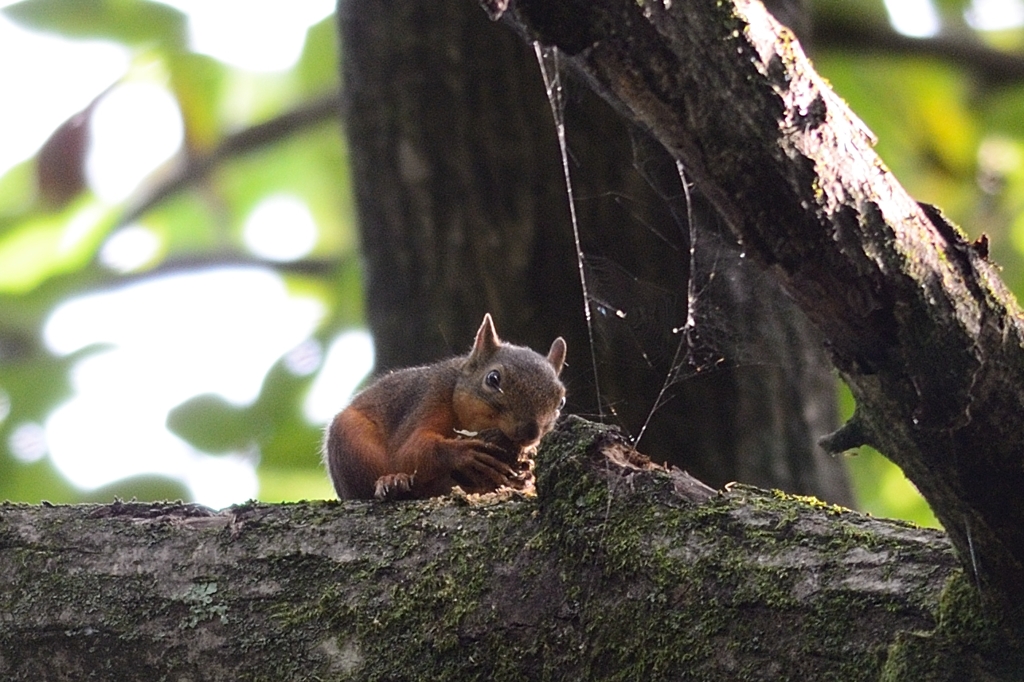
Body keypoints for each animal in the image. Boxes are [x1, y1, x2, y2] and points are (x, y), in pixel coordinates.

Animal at [325, 313, 569, 499]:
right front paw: (463, 453)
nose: (530, 432)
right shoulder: (430, 398)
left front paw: (526, 474)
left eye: (561, 400)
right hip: (350, 442)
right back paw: (393, 482)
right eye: (493, 379)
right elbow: (408, 451)